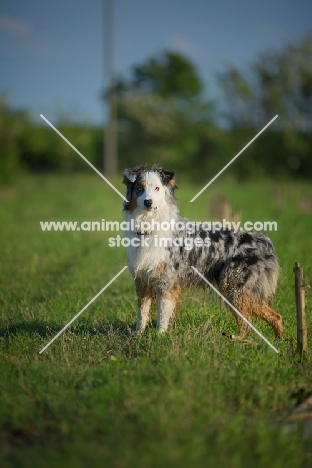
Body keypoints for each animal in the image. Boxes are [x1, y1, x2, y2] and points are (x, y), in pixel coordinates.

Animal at [123, 163, 284, 338]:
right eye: (139, 188)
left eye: (157, 188)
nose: (148, 202)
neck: (149, 224)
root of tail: (263, 241)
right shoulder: (141, 281)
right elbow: (142, 312)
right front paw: (137, 335)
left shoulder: (167, 282)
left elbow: (162, 314)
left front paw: (160, 336)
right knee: (275, 316)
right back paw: (279, 341)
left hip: (234, 289)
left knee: (248, 321)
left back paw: (238, 339)